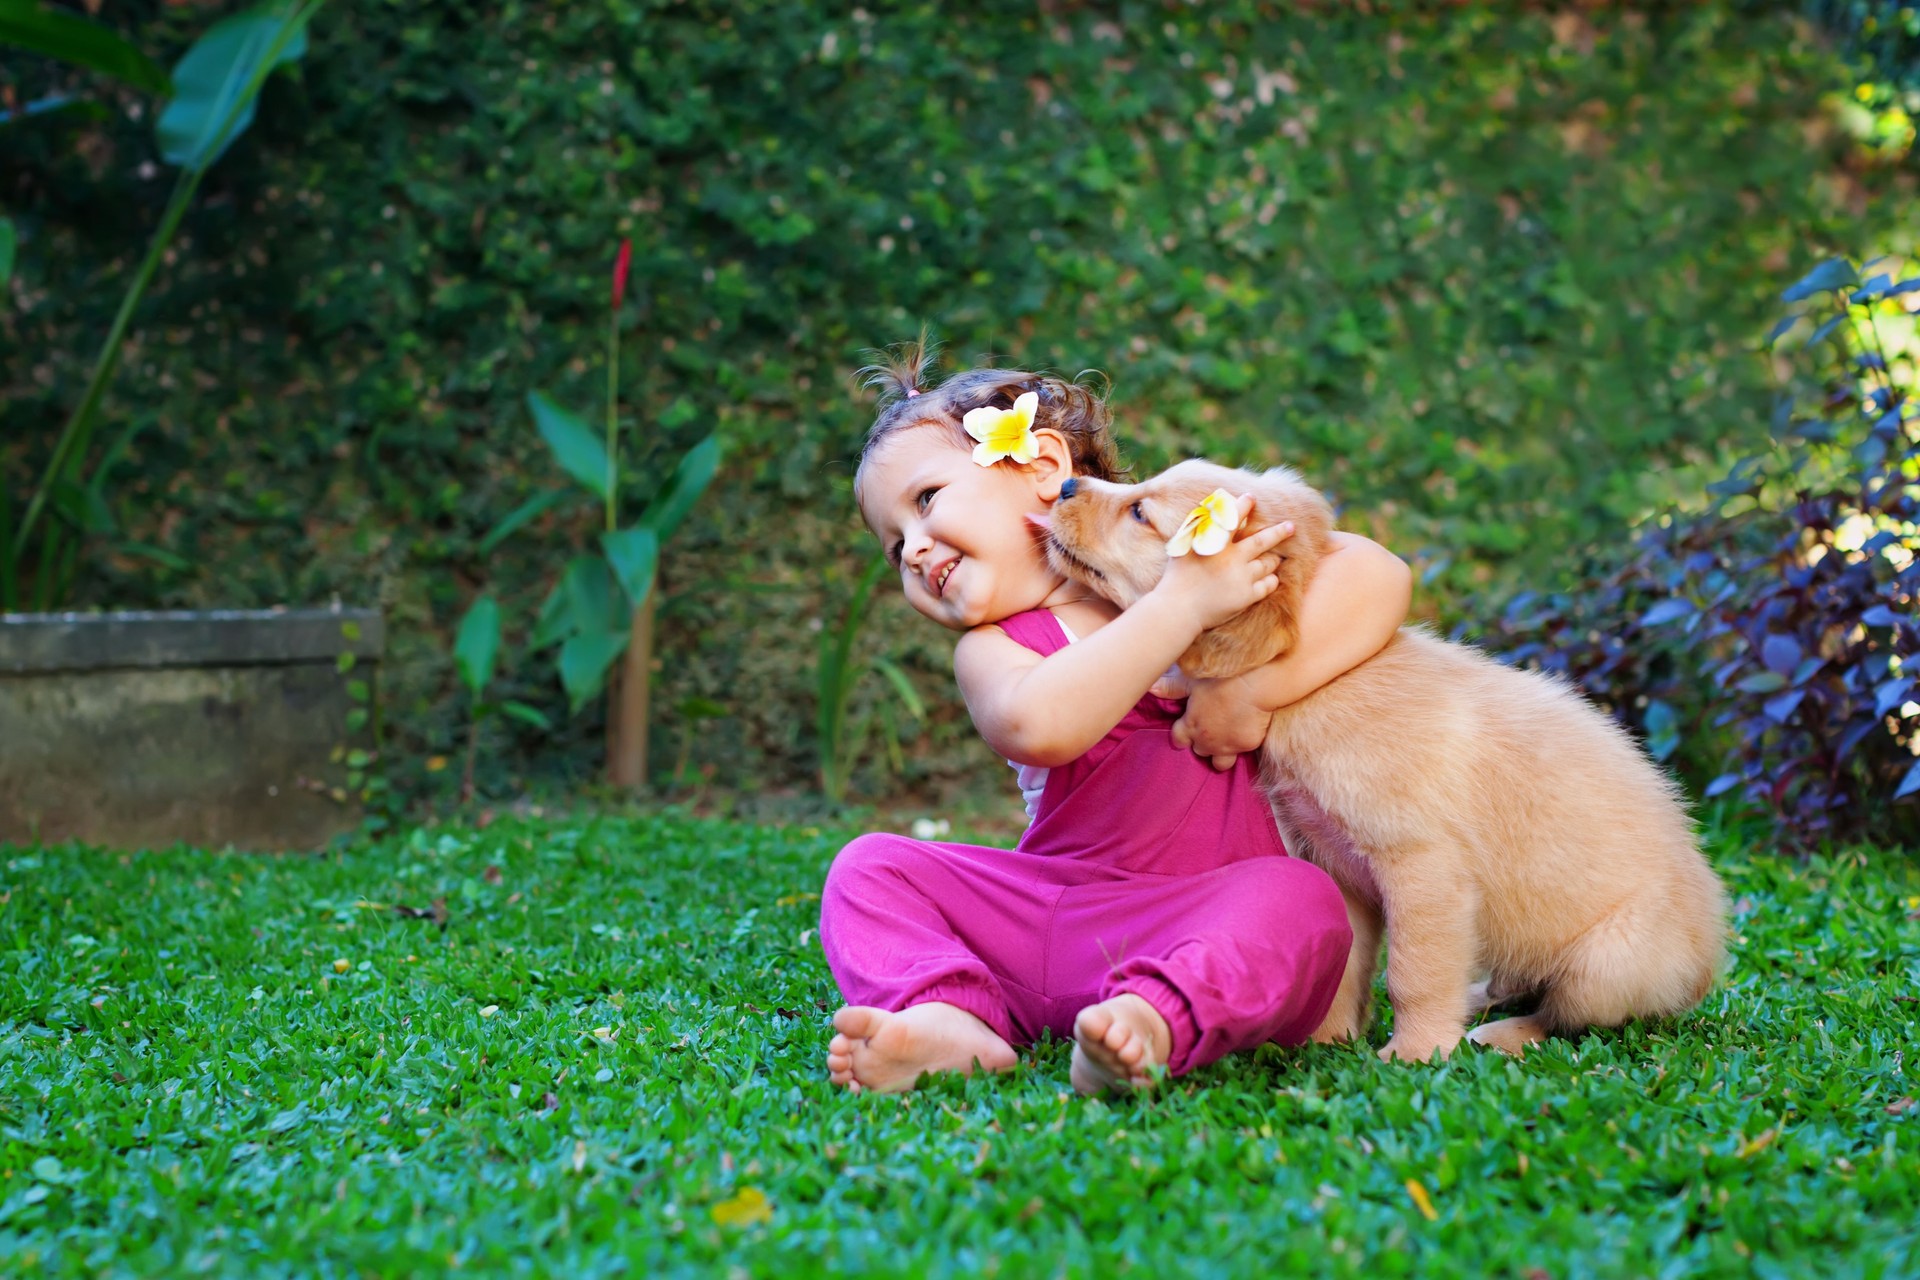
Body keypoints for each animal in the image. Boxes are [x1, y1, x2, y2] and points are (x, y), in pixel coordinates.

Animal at [1044, 460, 1735, 1059]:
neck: (1322, 684)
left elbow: (1413, 970)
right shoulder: (1335, 861)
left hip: (1608, 962)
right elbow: (1347, 960)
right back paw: (1480, 998)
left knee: (1563, 1014)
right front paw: (1327, 1040)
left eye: (1140, 511)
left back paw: (1498, 1033)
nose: (1067, 484)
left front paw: (1417, 1051)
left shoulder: (1422, 866)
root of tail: (1705, 968)